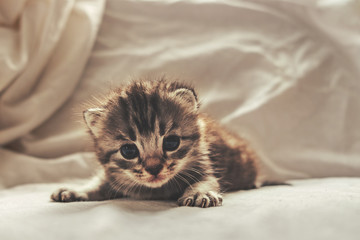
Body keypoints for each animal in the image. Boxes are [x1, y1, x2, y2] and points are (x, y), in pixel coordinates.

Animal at [50, 78, 258, 207]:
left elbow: (207, 180)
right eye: (128, 151)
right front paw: (76, 189)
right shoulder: (113, 176)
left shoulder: (206, 164)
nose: (154, 168)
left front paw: (200, 192)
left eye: (171, 142)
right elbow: (98, 183)